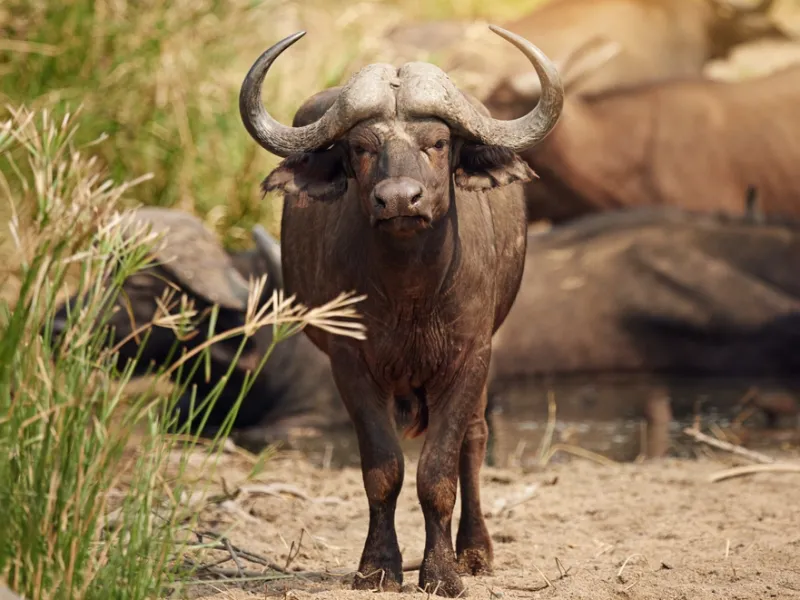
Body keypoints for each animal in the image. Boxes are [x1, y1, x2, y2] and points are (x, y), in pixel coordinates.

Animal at [239, 26, 563, 596]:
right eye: (361, 148)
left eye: (438, 143)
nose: (399, 200)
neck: (412, 293)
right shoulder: (350, 364)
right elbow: (383, 468)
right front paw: (377, 567)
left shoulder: (469, 356)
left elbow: (438, 473)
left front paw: (442, 573)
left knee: (474, 440)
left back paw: (475, 551)